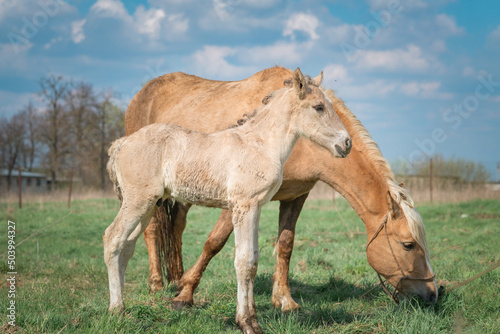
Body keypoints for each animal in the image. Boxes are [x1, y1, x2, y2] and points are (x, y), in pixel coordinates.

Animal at [125, 66, 438, 310]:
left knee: (176, 227)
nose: (433, 293)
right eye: (408, 244)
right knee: (153, 230)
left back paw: (176, 277)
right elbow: (214, 243)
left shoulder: (295, 197)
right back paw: (157, 285)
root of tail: (142, 94)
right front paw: (186, 295)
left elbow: (285, 245)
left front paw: (284, 300)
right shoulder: (238, 199)